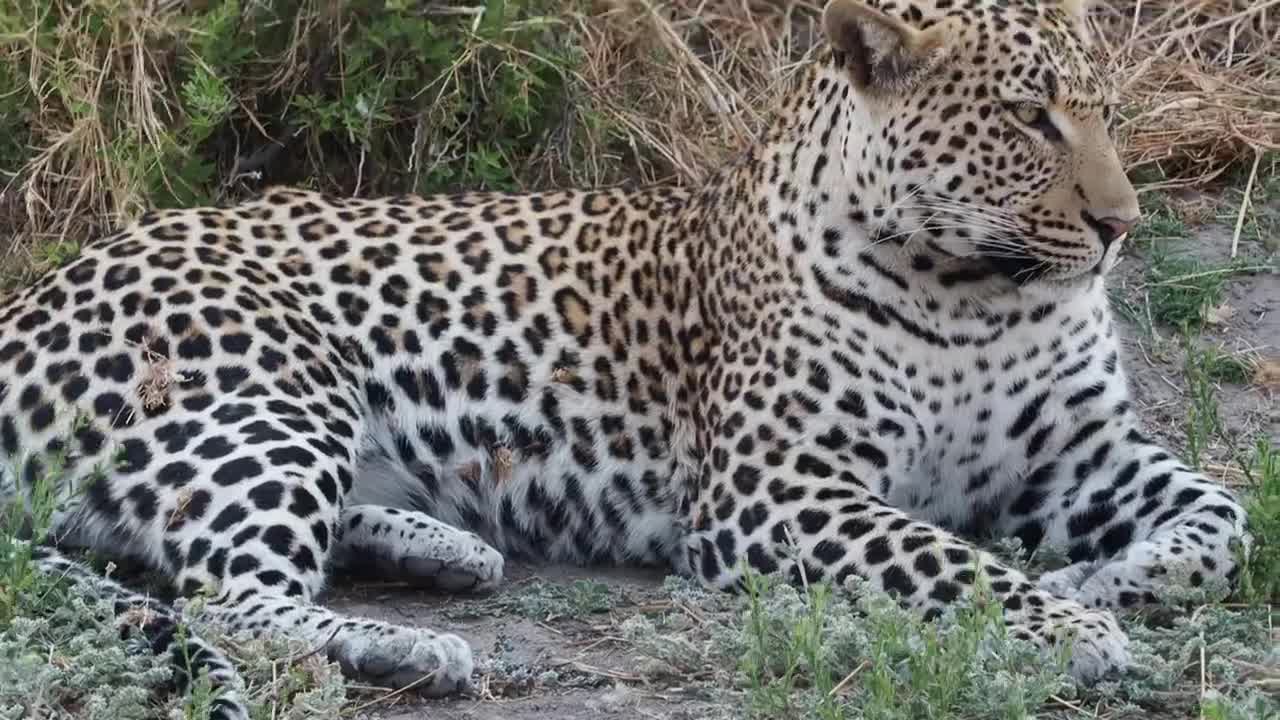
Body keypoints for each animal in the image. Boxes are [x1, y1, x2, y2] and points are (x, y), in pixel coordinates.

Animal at [0, 1, 1249, 712]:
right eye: (1026, 119)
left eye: (1104, 111)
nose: (1121, 225)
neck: (982, 294)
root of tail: (28, 299)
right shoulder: (773, 491)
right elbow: (946, 557)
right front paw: (1073, 625)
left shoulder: (1078, 452)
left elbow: (1223, 523)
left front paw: (1100, 582)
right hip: (270, 387)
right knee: (223, 599)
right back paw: (419, 648)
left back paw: (448, 550)